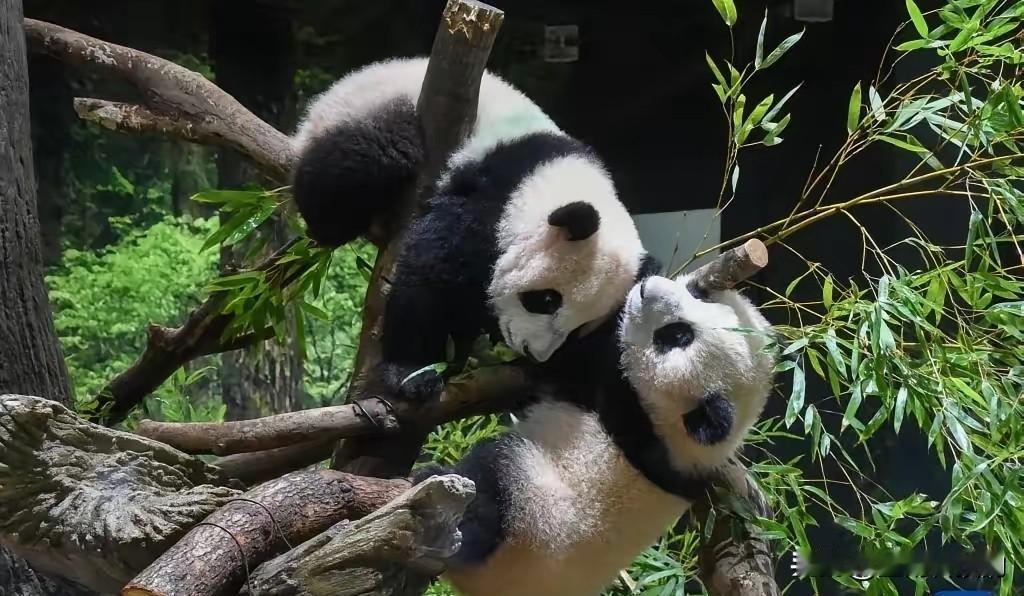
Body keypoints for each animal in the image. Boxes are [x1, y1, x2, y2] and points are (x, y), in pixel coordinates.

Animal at [291, 57, 648, 400]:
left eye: (578, 328)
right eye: (546, 300)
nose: (534, 352)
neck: (553, 178)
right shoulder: (493, 193)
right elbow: (433, 271)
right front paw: (414, 372)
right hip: (372, 111)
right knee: (366, 158)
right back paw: (331, 224)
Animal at [414, 272, 776, 596]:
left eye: (676, 335)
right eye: (698, 296)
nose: (646, 289)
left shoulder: (621, 402)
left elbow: (567, 360)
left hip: (531, 513)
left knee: (488, 490)